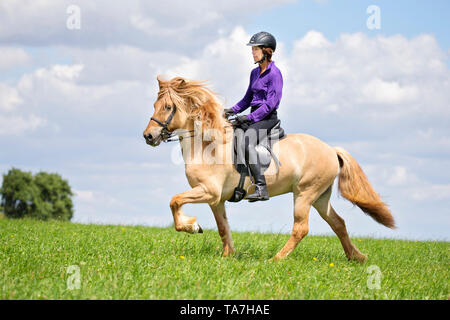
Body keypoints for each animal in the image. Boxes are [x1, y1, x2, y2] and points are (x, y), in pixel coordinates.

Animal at [143, 75, 394, 262]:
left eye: (168, 107)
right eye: (154, 105)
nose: (148, 136)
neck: (207, 144)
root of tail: (331, 150)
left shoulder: (209, 191)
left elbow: (174, 200)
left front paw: (192, 226)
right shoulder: (217, 199)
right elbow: (223, 227)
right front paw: (227, 256)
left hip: (304, 193)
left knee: (301, 228)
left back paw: (277, 259)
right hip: (321, 197)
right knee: (338, 223)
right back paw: (356, 257)